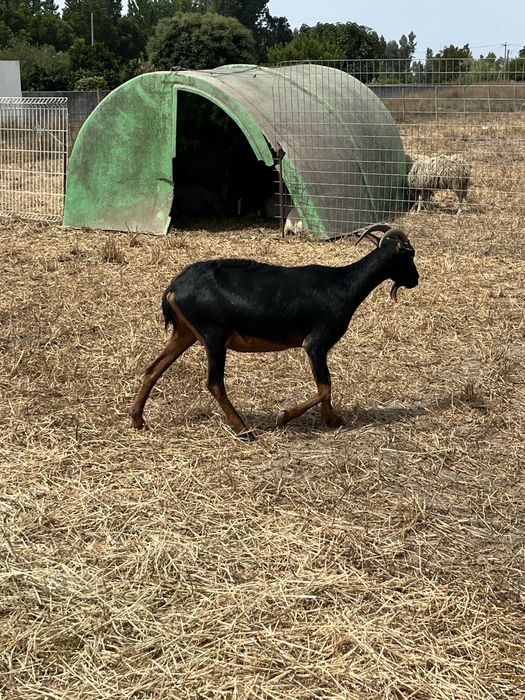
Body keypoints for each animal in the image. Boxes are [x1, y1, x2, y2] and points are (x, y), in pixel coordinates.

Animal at [129, 224, 419, 439]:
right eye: (409, 255)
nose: (415, 280)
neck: (343, 284)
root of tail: (174, 288)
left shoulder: (318, 348)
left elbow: (325, 387)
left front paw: (332, 419)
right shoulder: (315, 343)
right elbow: (325, 387)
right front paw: (284, 416)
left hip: (185, 332)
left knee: (153, 369)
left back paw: (137, 419)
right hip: (214, 336)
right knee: (214, 383)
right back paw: (243, 430)